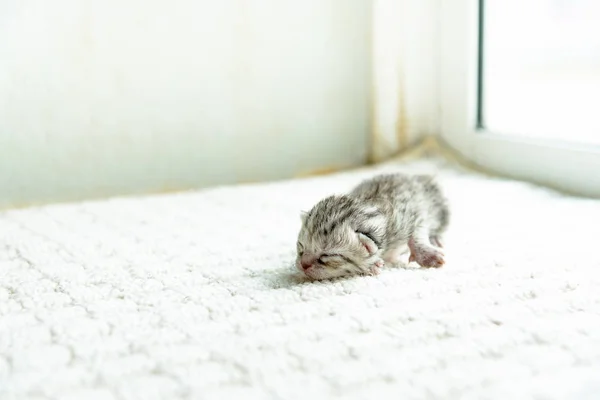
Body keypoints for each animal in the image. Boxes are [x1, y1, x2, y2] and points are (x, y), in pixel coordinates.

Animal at [296, 173, 450, 280]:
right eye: (301, 247)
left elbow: (417, 231)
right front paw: (371, 266)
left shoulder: (411, 213)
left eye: (327, 255)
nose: (303, 264)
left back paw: (435, 238)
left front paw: (428, 255)